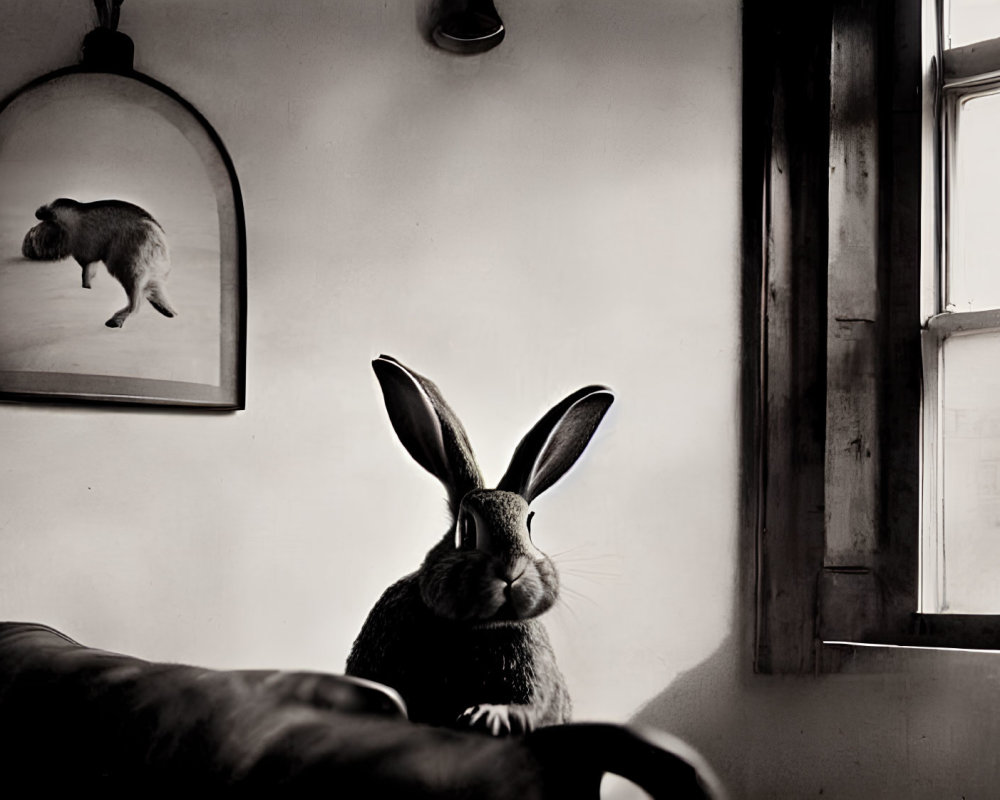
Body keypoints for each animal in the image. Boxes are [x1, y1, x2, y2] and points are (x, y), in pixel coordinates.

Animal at [352, 356, 616, 736]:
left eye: (529, 524)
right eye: (467, 528)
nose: (511, 571)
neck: (474, 628)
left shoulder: (532, 669)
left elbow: (527, 706)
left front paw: (487, 715)